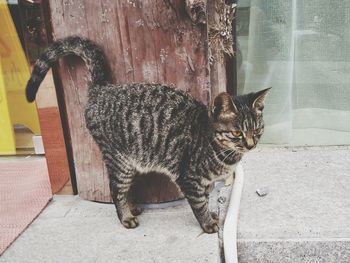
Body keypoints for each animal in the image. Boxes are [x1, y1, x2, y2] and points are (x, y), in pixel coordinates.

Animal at [26, 36, 270, 234]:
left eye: (258, 130)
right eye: (237, 132)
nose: (251, 145)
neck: (218, 148)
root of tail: (101, 89)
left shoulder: (205, 182)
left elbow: (207, 198)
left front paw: (211, 215)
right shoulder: (189, 179)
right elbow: (199, 203)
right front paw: (208, 223)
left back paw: (132, 207)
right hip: (120, 161)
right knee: (115, 188)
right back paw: (125, 217)